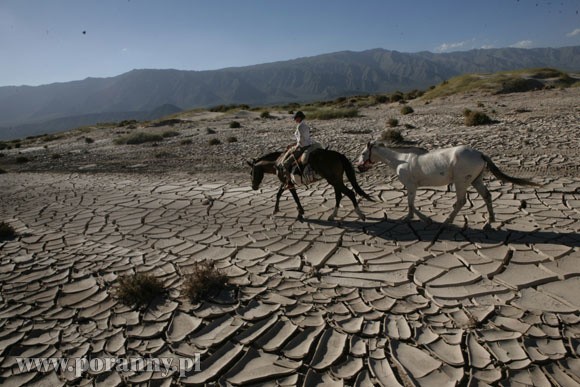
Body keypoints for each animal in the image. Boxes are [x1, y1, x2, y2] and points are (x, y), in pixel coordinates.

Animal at [356, 142, 540, 236]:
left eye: (364, 153)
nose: (358, 167)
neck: (401, 160)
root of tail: (480, 154)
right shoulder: (411, 187)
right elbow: (411, 205)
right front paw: (411, 218)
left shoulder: (411, 186)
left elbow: (411, 204)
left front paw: (423, 219)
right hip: (476, 180)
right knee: (487, 196)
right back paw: (488, 223)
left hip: (461, 182)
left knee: (461, 201)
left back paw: (446, 222)